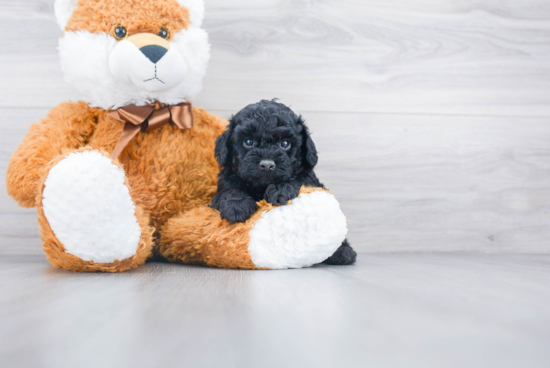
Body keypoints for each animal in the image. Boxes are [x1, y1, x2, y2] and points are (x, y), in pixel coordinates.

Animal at [211, 99, 358, 264]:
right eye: (248, 142)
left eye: (285, 143)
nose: (267, 164)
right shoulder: (225, 181)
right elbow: (230, 189)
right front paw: (236, 206)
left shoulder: (309, 179)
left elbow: (298, 179)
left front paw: (280, 190)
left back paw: (343, 252)